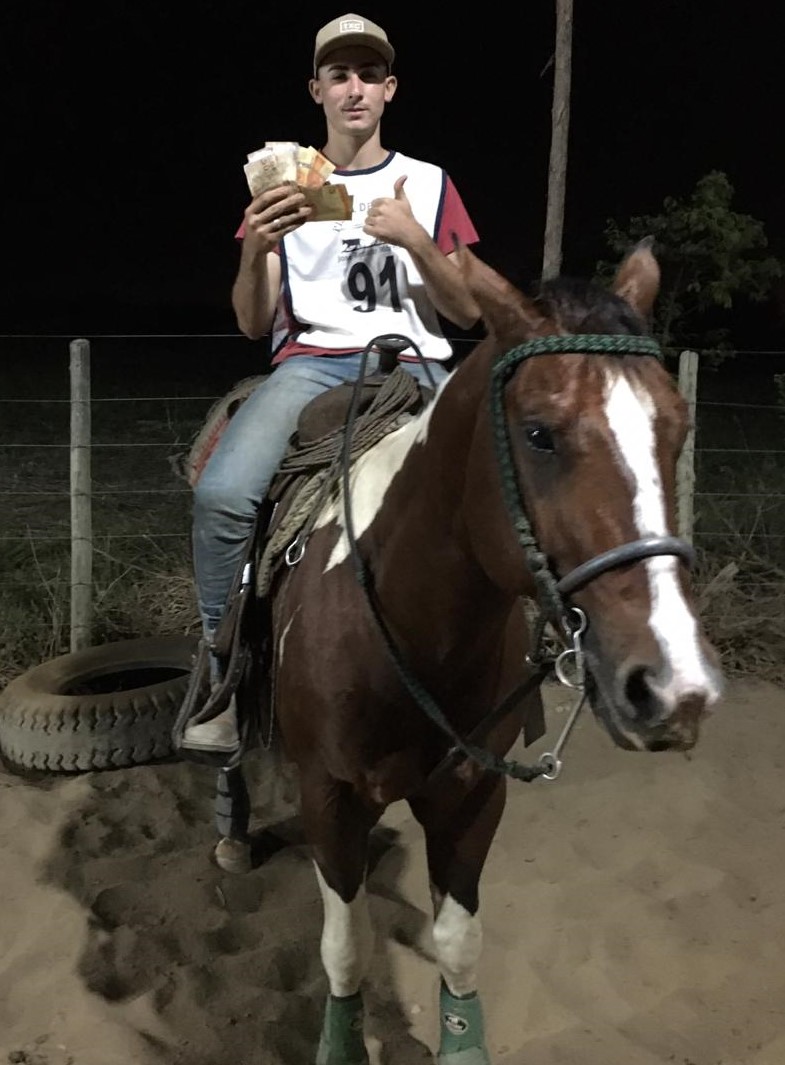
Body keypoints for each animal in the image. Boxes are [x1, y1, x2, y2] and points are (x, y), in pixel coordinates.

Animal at [258, 243, 724, 1065]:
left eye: (676, 427)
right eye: (538, 433)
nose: (674, 687)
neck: (407, 627)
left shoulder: (474, 795)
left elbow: (458, 944)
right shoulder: (327, 796)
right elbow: (344, 947)